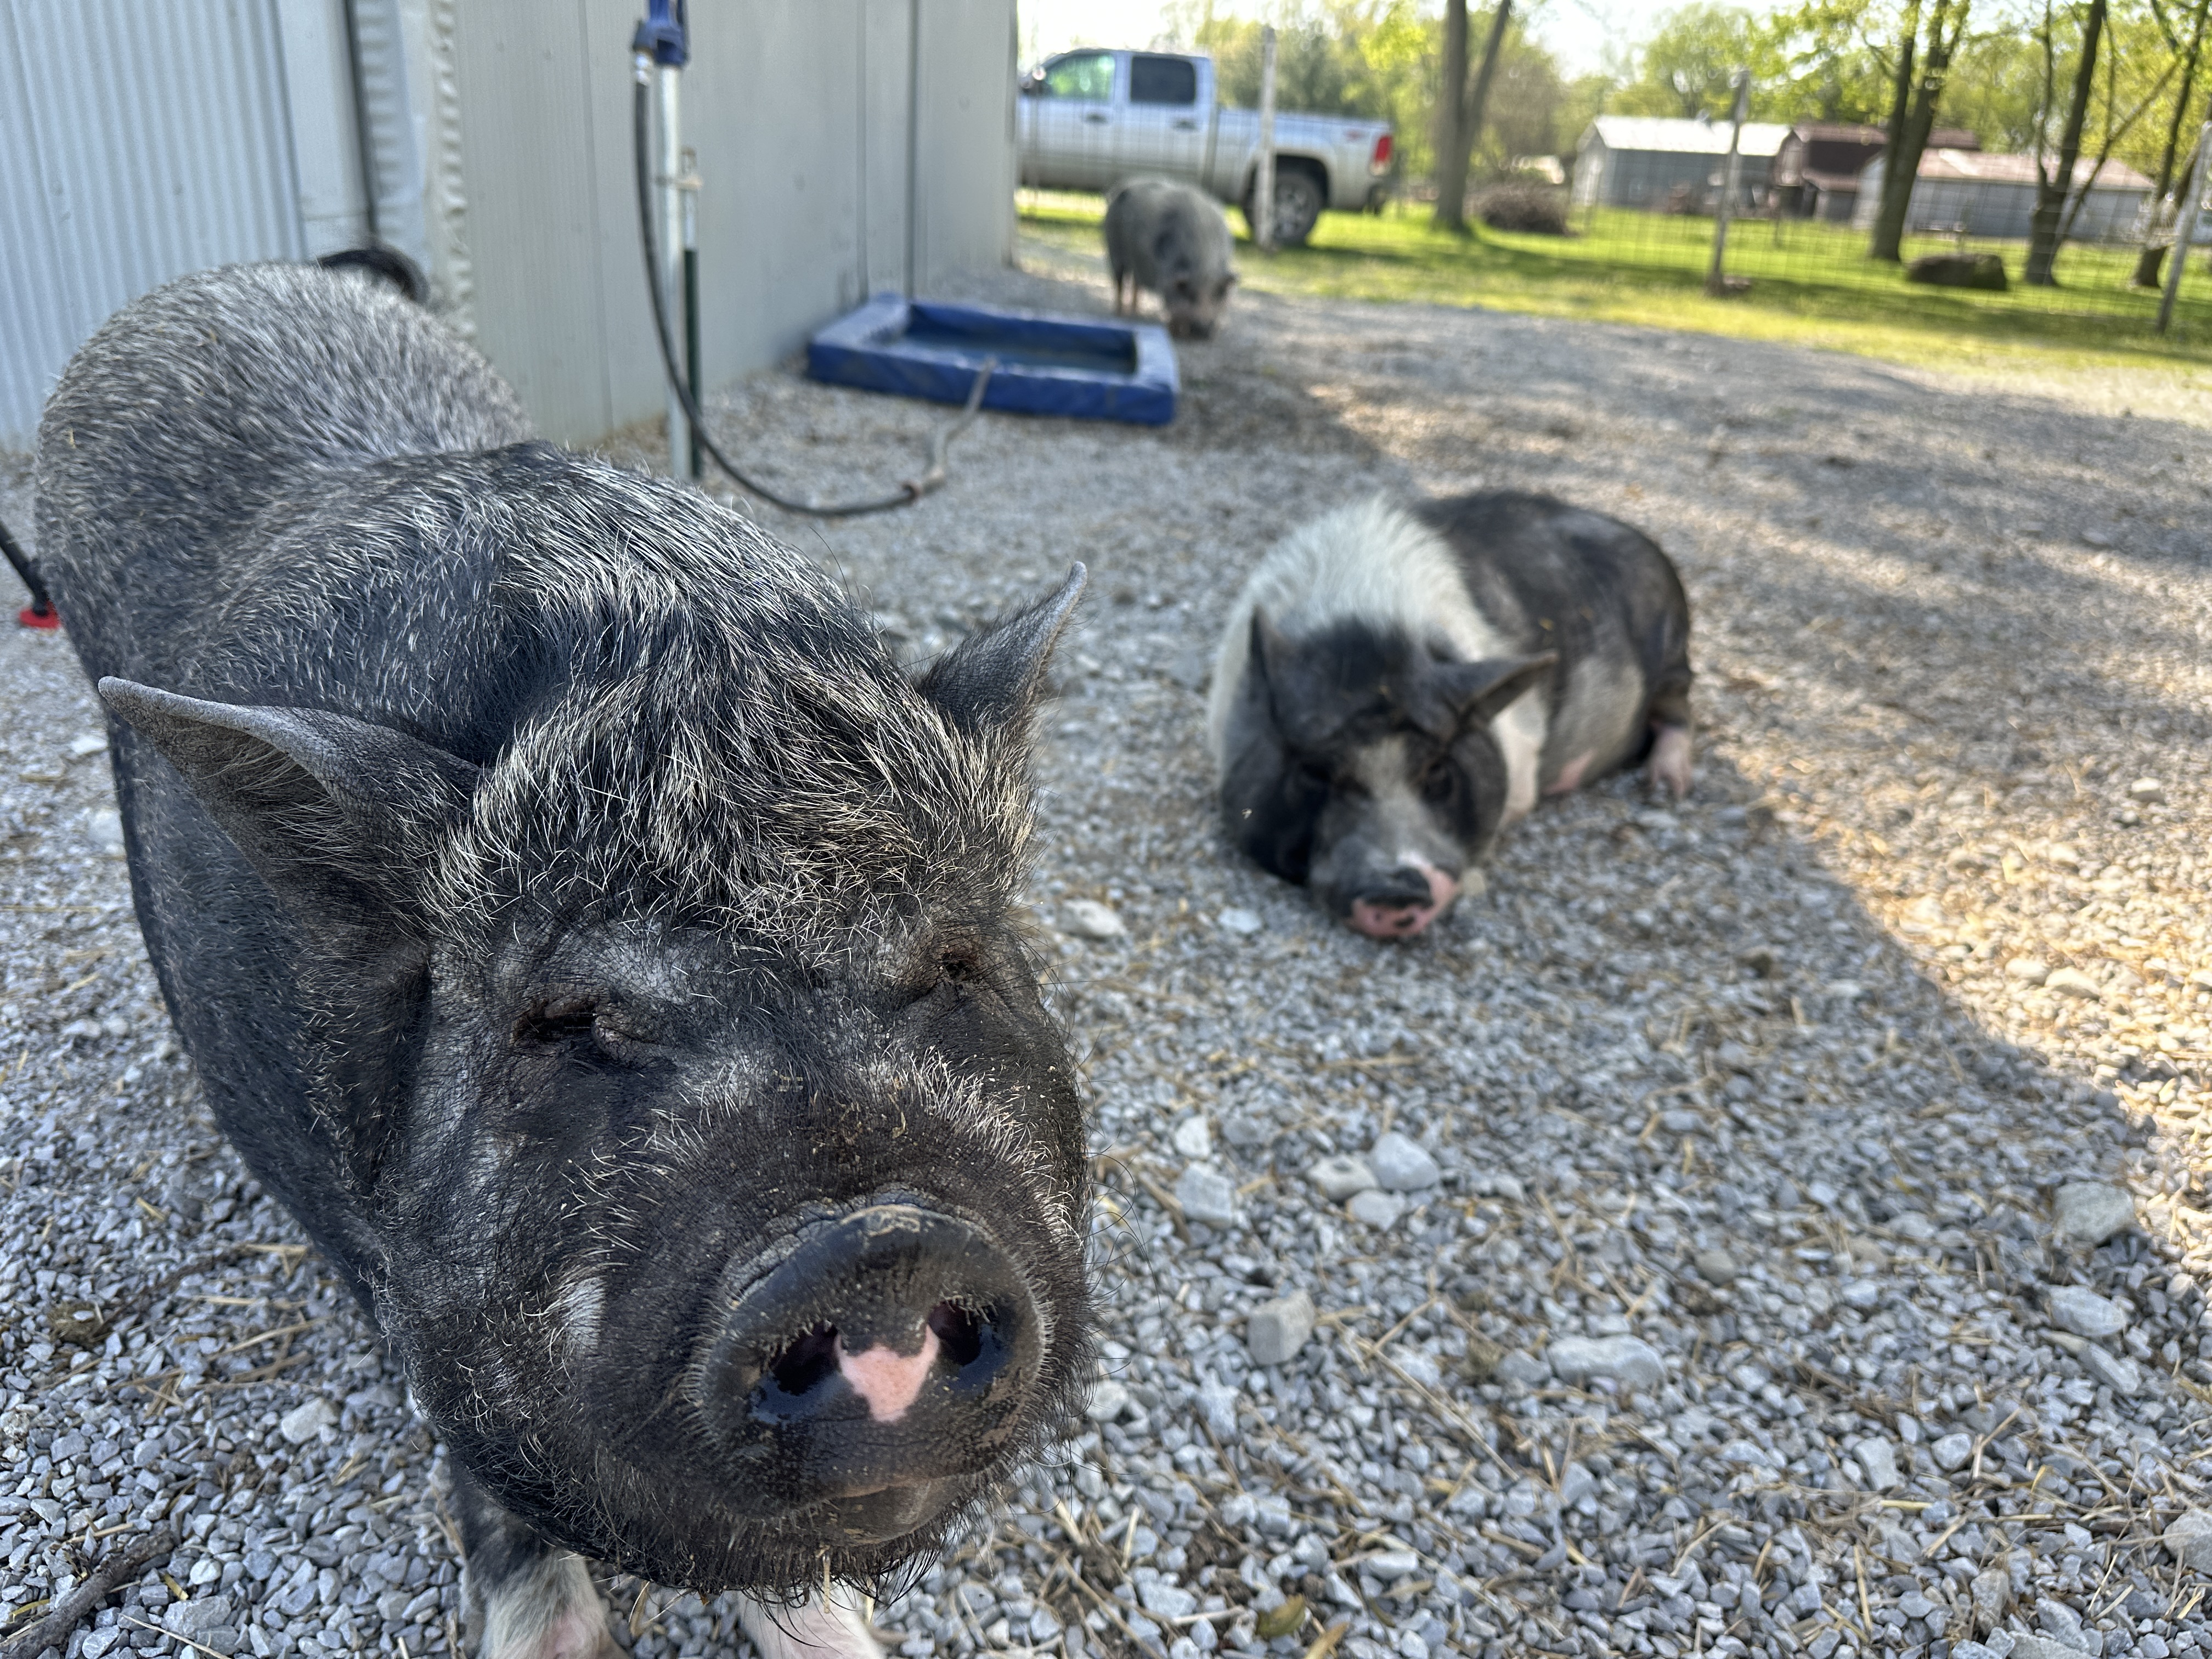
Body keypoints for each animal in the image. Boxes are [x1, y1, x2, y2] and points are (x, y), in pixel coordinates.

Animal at [1104, 177, 1237, 339]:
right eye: (1191, 296)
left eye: (1217, 294)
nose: (1203, 330)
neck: (1204, 267)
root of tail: (1121, 187)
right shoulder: (1166, 278)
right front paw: (1175, 332)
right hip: (1113, 249)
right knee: (1119, 280)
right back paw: (1120, 314)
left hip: (1137, 264)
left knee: (1136, 283)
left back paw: (1137, 312)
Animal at [1206, 492, 1693, 939]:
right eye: (1314, 773)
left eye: (1438, 770)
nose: (1396, 889)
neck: (1368, 629)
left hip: (1674, 653)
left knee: (1679, 711)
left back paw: (1665, 790)